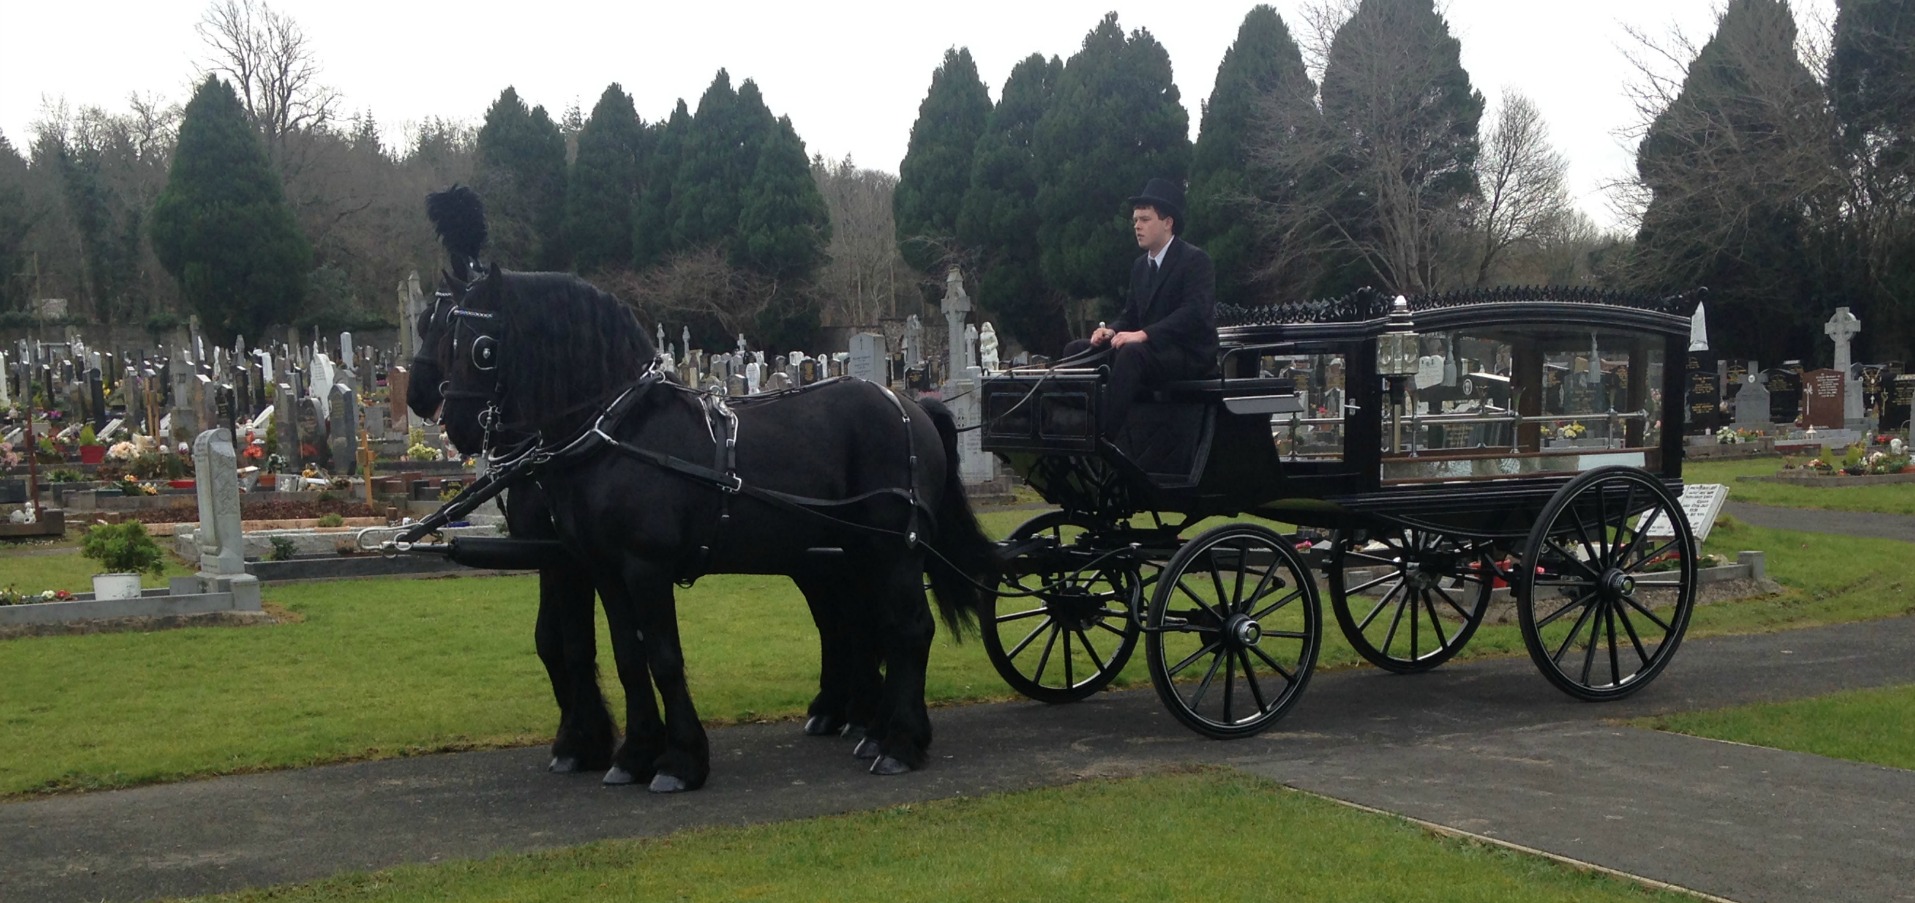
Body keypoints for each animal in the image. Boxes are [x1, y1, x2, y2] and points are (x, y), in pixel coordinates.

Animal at [411, 185, 995, 788]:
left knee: (909, 628)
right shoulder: (600, 568)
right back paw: (875, 727)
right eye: (433, 326)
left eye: (480, 345)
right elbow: (624, 656)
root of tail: (911, 404)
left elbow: (662, 657)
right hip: (849, 552)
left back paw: (900, 742)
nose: (448, 419)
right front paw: (632, 752)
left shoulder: (643, 566)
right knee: (870, 626)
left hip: (892, 549)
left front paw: (679, 759)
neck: (618, 428)